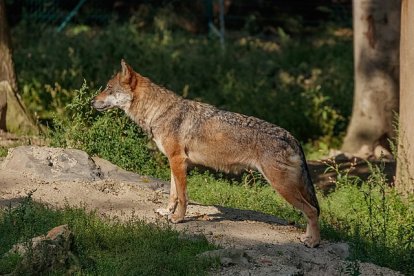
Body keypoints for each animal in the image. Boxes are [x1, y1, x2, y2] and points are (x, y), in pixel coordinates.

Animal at [92, 59, 322, 247]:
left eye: (108, 88)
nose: (91, 102)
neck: (159, 112)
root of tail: (292, 137)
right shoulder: (174, 162)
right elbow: (173, 194)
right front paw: (167, 212)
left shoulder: (178, 162)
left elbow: (183, 197)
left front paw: (178, 219)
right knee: (312, 210)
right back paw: (307, 238)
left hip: (282, 187)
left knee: (312, 210)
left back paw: (313, 242)